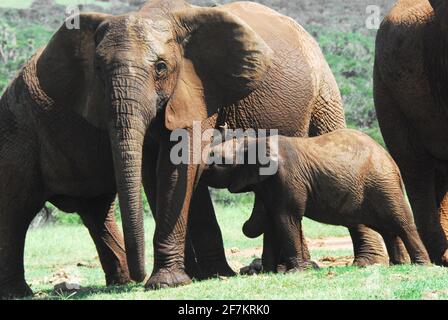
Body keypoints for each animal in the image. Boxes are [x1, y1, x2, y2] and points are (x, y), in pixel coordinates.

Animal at [203, 129, 430, 272]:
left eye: (219, 160)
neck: (255, 143)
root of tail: (391, 160)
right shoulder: (269, 184)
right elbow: (272, 220)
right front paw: (268, 272)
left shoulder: (288, 177)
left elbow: (286, 218)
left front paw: (296, 272)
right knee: (387, 229)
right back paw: (398, 265)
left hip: (383, 184)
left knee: (402, 223)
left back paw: (421, 266)